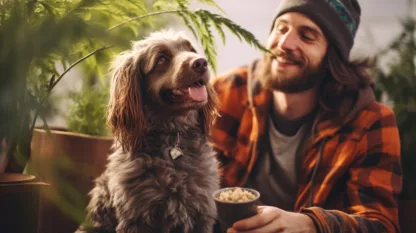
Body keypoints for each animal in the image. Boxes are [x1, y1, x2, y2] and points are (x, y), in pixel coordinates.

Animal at [77, 29, 223, 233]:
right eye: (161, 59)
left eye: (191, 49)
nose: (201, 62)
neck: (172, 137)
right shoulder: (136, 217)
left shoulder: (201, 214)